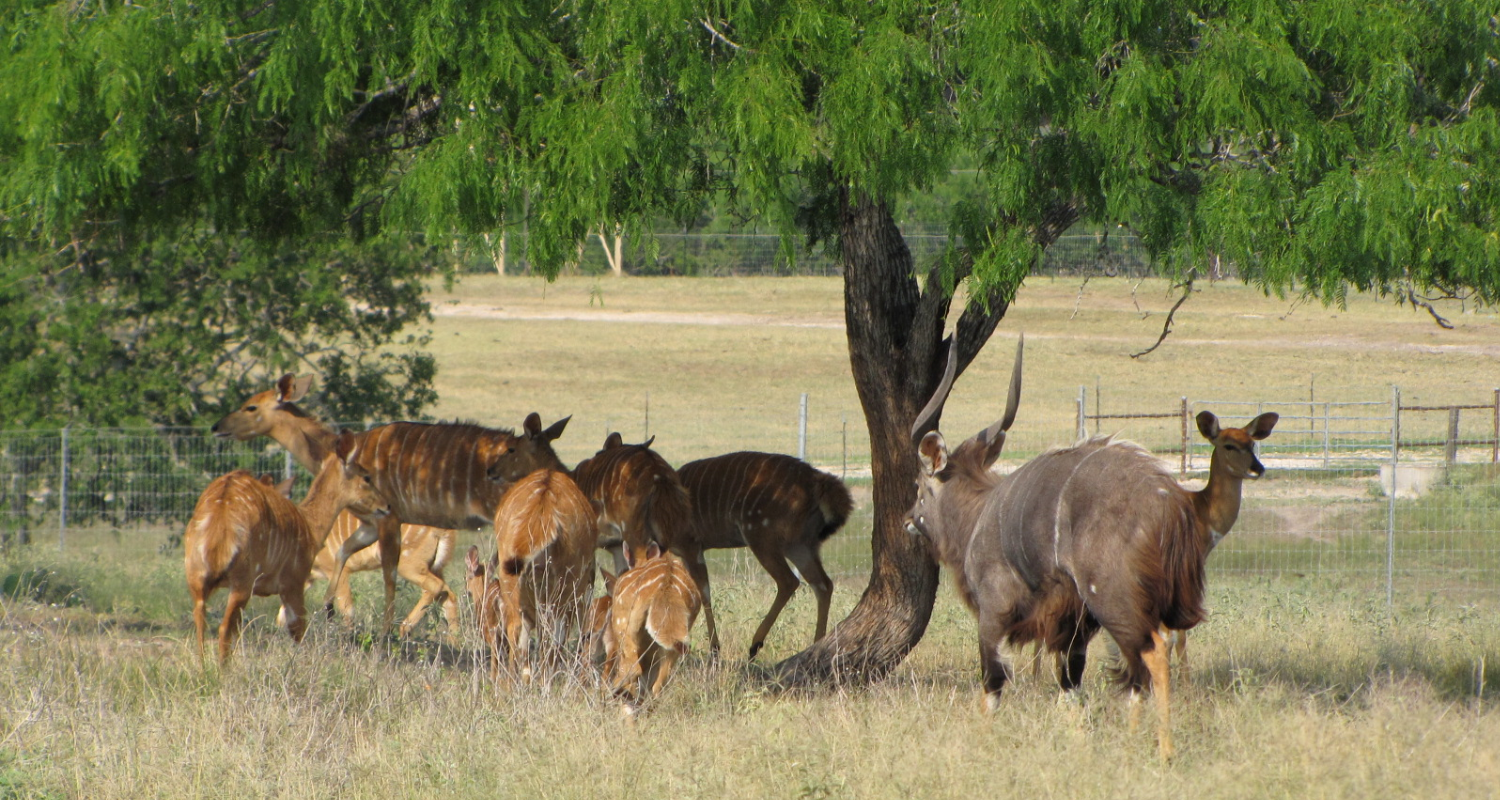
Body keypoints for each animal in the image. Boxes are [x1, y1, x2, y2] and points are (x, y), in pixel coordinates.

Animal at [186, 429, 393, 660]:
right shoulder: (294, 582)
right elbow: (298, 632)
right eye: (366, 477)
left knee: (201, 626)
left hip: (198, 579)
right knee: (224, 629)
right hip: (242, 582)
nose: (386, 506)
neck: (309, 525)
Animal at [675, 453, 852, 657]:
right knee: (823, 584)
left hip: (761, 536)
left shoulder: (690, 545)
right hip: (800, 544)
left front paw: (711, 649)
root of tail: (818, 482)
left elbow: (702, 593)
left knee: (789, 581)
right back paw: (816, 644)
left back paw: (755, 644)